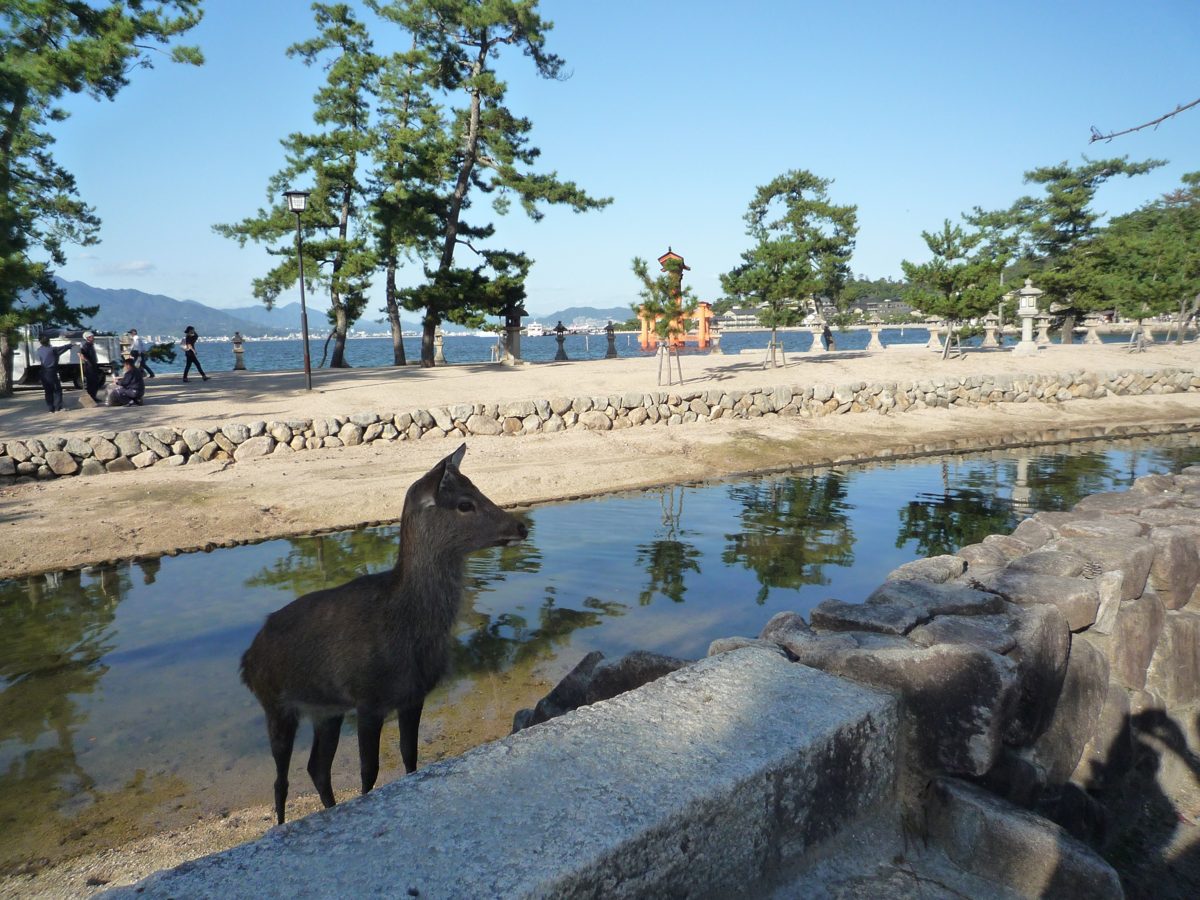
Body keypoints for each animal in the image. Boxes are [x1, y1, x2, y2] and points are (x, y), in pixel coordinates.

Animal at [240, 444, 528, 824]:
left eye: (477, 489)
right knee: (281, 780)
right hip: (275, 703)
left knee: (317, 767)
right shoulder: (368, 699)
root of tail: (247, 659)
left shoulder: (413, 695)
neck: (406, 631)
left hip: (326, 710)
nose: (521, 526)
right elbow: (369, 770)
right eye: (465, 503)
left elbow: (410, 755)